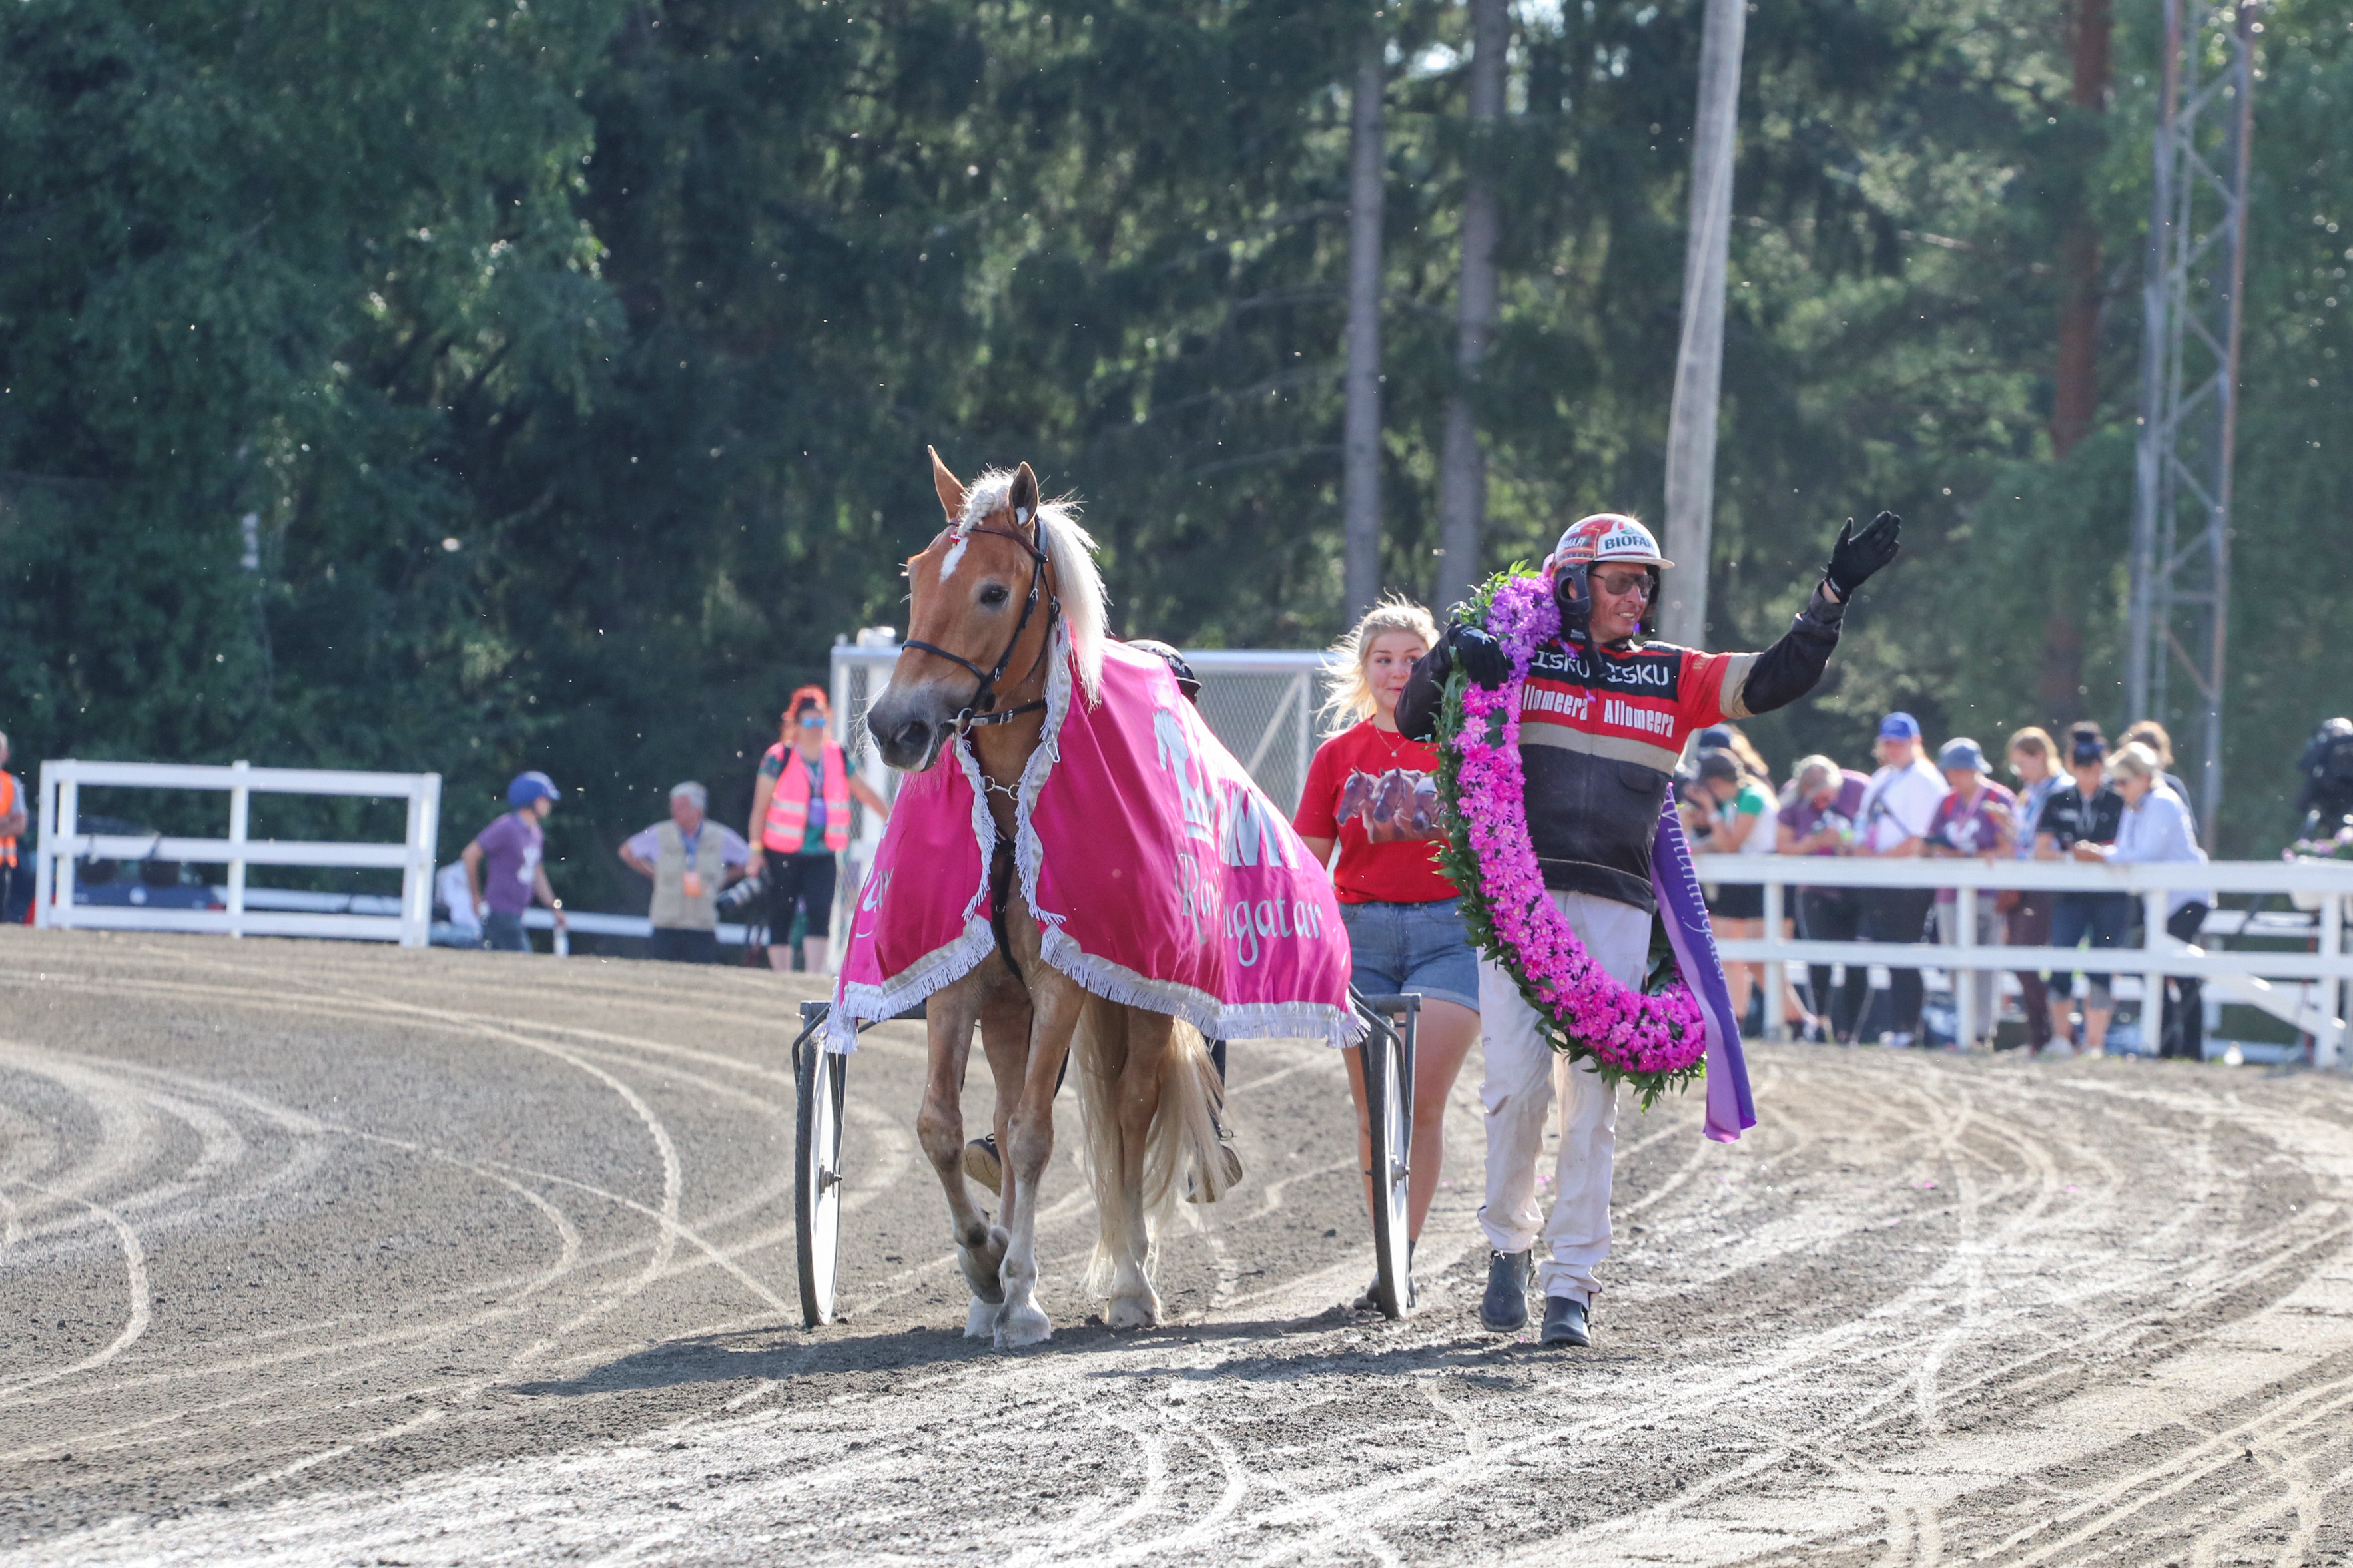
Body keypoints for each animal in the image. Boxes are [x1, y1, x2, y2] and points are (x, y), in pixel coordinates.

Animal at [861, 444, 1233, 1354]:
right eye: (917, 574)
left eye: (993, 591)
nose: (893, 726)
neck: (1012, 801)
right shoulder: (964, 977)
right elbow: (942, 1126)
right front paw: (983, 1264)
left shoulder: (1063, 981)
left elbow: (1034, 1133)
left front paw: (1023, 1296)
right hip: (1009, 1008)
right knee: (1000, 1107)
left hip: (1132, 998)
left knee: (1130, 1110)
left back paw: (1133, 1282)